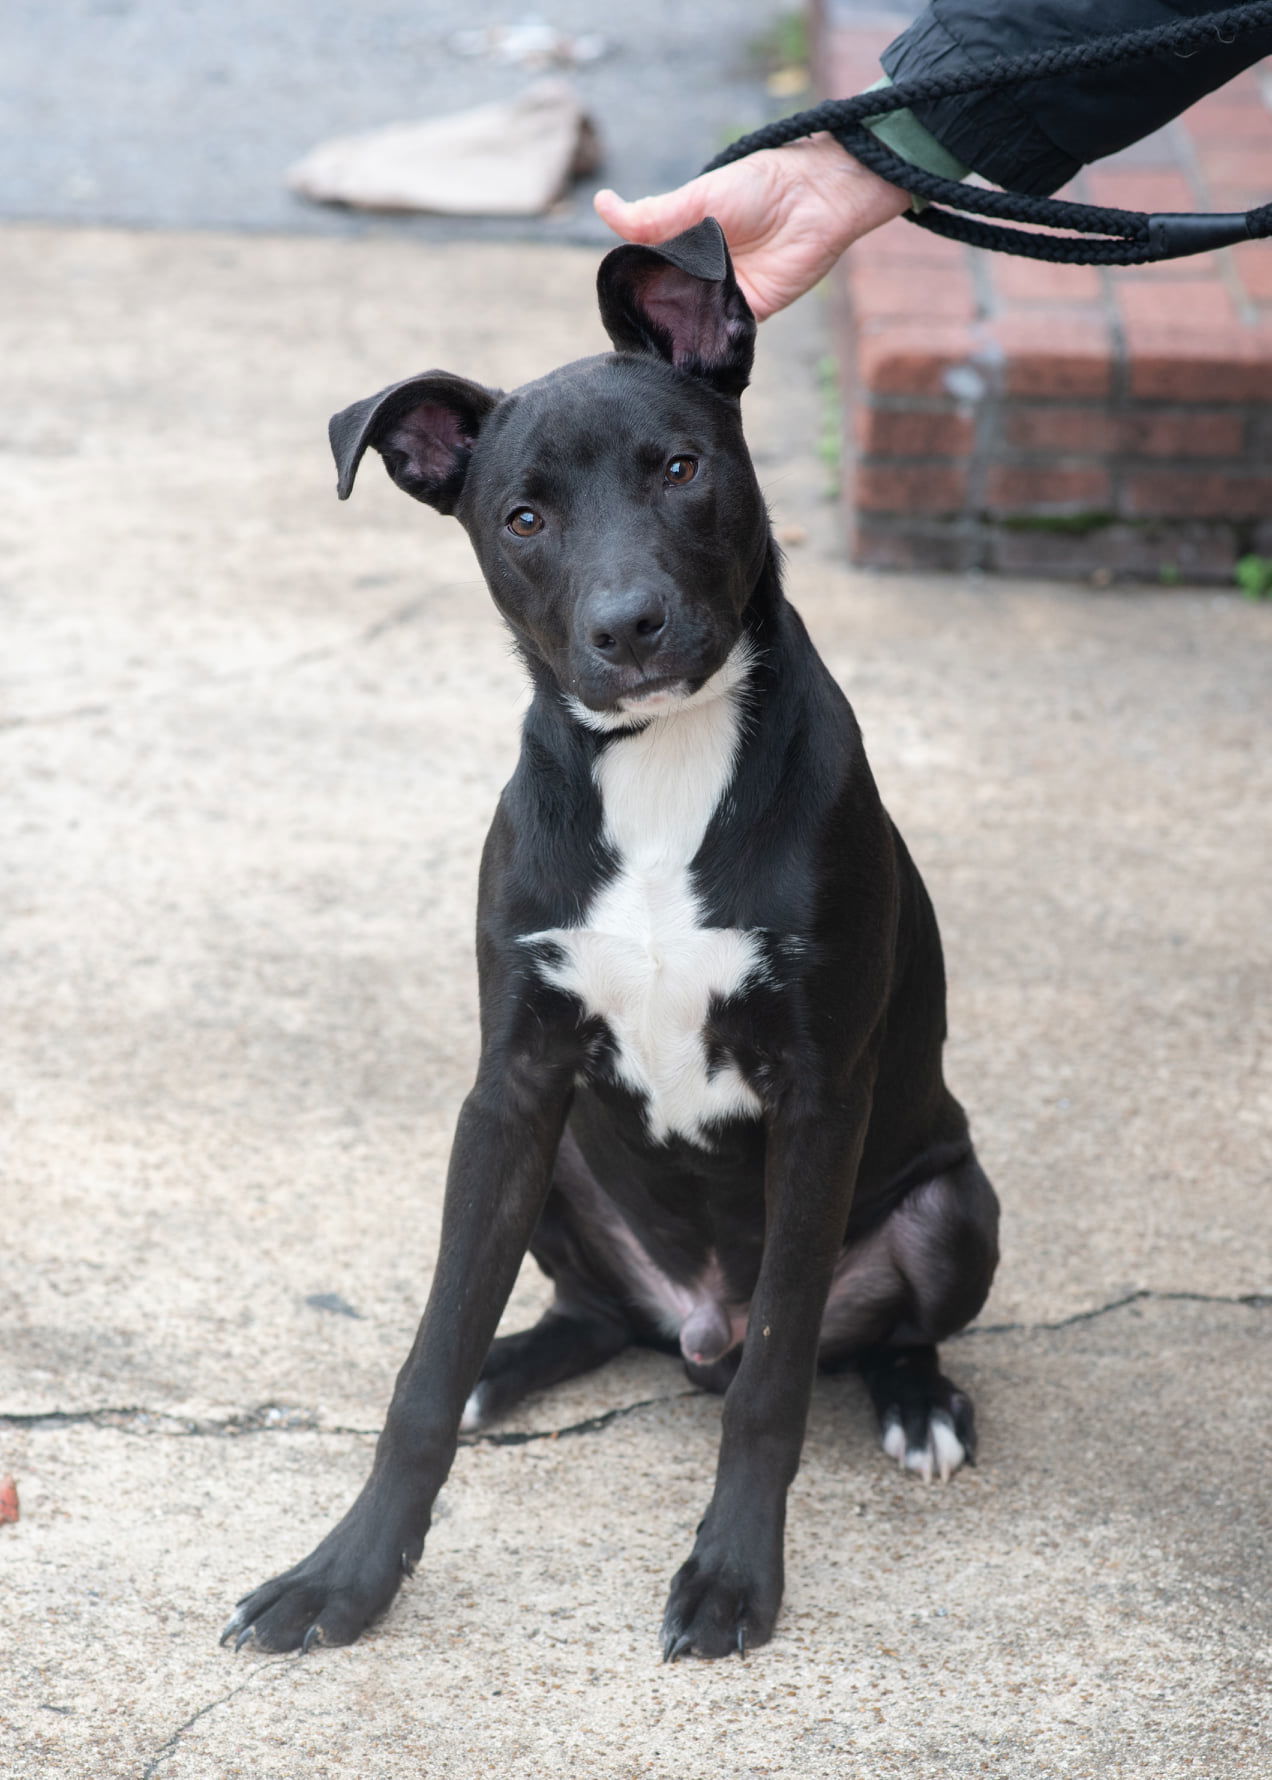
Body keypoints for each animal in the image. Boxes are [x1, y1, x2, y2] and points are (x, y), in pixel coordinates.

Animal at [224, 215, 1003, 1658]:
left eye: (680, 468)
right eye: (522, 517)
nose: (628, 626)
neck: (662, 765)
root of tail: (695, 1324)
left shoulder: (820, 1096)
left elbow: (773, 1387)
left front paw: (736, 1575)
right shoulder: (514, 1084)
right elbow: (424, 1368)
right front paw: (344, 1576)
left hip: (951, 1205)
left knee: (842, 1338)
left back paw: (916, 1399)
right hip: (548, 1174)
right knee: (581, 1316)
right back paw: (512, 1368)